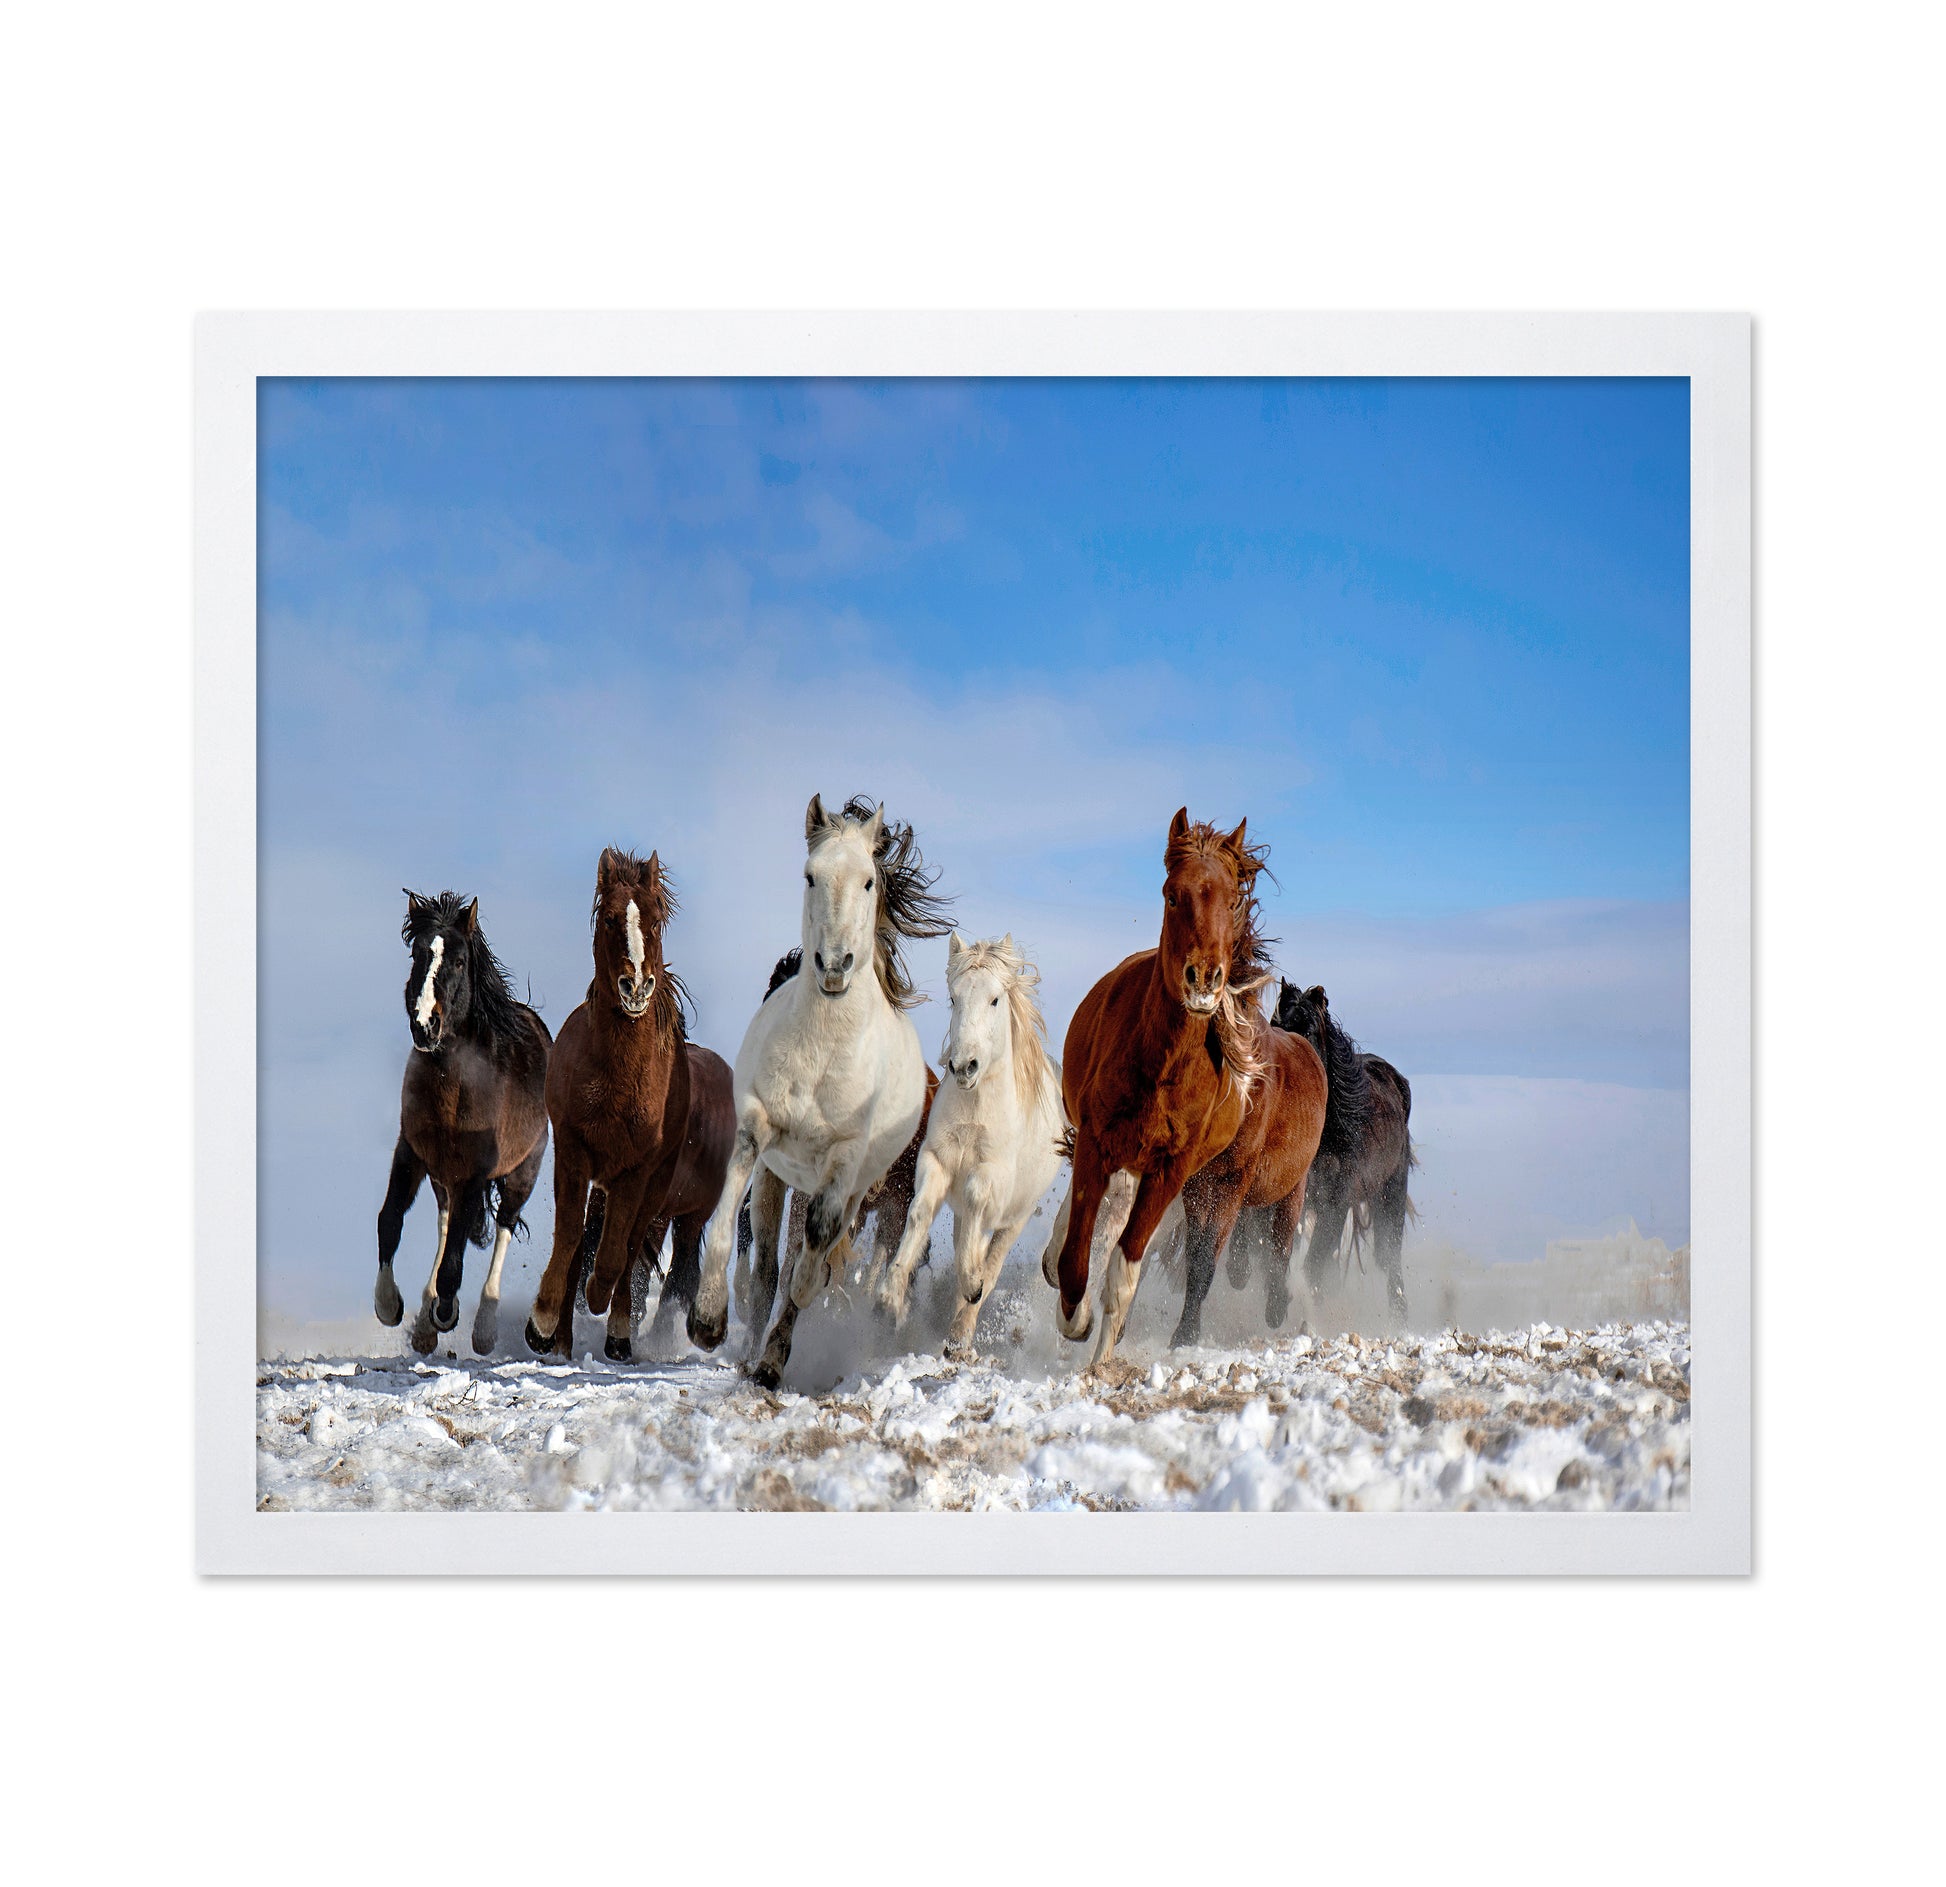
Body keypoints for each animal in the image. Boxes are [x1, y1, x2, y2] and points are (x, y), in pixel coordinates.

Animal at [374, 892, 552, 1356]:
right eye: (418, 953)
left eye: (457, 961)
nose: (425, 1025)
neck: (453, 1085)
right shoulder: (411, 1153)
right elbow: (390, 1220)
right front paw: (390, 1305)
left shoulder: (475, 1172)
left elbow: (455, 1258)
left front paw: (446, 1312)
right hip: (442, 1177)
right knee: (444, 1222)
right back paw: (423, 1321)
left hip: (522, 1173)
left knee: (504, 1225)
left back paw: (483, 1329)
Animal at [522, 848, 736, 1363]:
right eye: (610, 919)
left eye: (655, 921)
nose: (636, 986)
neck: (616, 1083)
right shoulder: (574, 1151)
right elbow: (570, 1238)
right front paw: (543, 1325)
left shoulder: (637, 1172)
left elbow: (617, 1252)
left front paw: (601, 1305)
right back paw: (564, 1336)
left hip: (664, 1196)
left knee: (634, 1246)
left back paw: (618, 1332)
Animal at [874, 932, 1070, 1358]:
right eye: (953, 997)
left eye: (995, 999)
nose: (964, 1067)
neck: (974, 1111)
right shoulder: (936, 1162)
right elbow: (920, 1213)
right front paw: (890, 1297)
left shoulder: (988, 1175)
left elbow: (977, 1215)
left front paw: (971, 1284)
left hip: (1015, 1218)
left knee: (991, 1262)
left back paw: (962, 1331)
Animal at [1039, 808, 1272, 1368]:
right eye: (1172, 894)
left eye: (1231, 899)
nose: (1203, 978)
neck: (1163, 1069)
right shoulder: (1097, 1143)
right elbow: (1079, 1253)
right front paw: (1075, 1318)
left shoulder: (1171, 1171)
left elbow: (1124, 1266)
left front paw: (1102, 1359)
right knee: (1075, 1234)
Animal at [1271, 980, 1415, 1320]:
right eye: (1273, 1025)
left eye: (1309, 1030)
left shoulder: (1335, 1202)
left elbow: (1313, 1266)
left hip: (1390, 1194)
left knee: (1389, 1259)